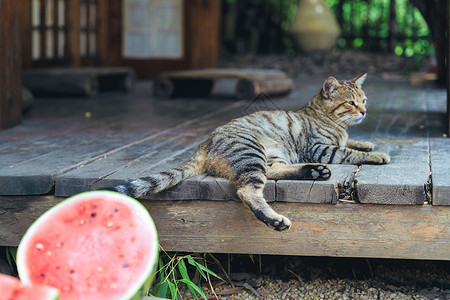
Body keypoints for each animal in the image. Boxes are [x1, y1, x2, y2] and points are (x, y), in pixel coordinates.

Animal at [100, 74, 388, 231]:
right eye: (350, 103)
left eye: (364, 101)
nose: (364, 112)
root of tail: (206, 142)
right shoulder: (320, 148)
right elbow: (348, 153)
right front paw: (376, 155)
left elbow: (352, 143)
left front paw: (366, 144)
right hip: (251, 153)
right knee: (248, 190)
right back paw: (275, 218)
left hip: (270, 154)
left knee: (273, 171)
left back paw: (313, 172)